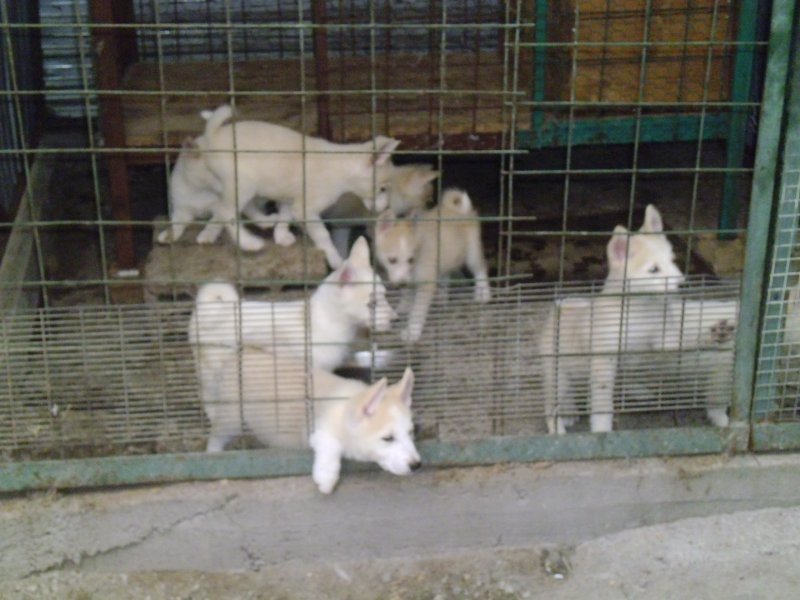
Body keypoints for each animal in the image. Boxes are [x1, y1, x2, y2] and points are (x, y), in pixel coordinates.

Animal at [196, 342, 421, 493]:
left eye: (411, 432)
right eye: (388, 438)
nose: (417, 465)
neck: (343, 408)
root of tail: (242, 353)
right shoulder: (315, 430)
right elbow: (331, 445)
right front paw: (326, 476)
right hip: (232, 417)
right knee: (216, 436)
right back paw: (212, 455)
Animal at [199, 104, 401, 267]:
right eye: (383, 188)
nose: (386, 208)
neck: (341, 166)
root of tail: (213, 136)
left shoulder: (292, 199)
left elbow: (285, 216)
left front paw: (281, 236)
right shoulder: (306, 209)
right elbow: (323, 235)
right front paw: (335, 259)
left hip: (248, 187)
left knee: (235, 208)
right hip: (243, 185)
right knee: (226, 211)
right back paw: (248, 242)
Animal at [374, 188, 491, 343]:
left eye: (411, 259)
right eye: (392, 260)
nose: (401, 284)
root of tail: (458, 209)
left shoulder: (426, 284)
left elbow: (417, 312)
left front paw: (412, 332)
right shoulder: (410, 279)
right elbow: (407, 294)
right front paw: (404, 306)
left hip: (472, 254)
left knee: (480, 270)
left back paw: (483, 294)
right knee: (445, 276)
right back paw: (442, 297)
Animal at [539, 204, 735, 434]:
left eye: (673, 261)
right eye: (654, 269)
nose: (684, 284)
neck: (641, 311)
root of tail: (559, 308)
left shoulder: (664, 340)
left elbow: (687, 338)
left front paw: (717, 333)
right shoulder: (604, 364)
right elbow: (602, 407)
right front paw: (601, 430)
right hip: (558, 376)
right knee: (552, 403)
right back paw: (559, 425)